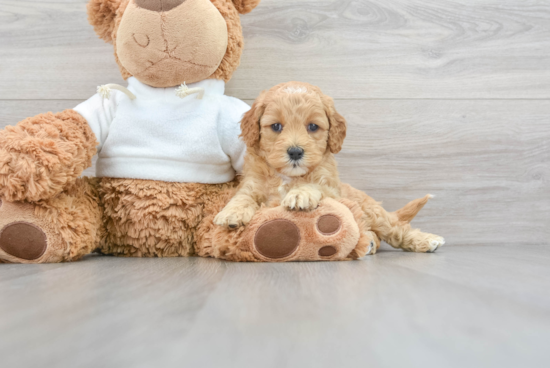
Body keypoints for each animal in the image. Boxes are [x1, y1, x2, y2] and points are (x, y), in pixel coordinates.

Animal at [215, 82, 344, 229]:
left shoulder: (335, 192)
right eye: (276, 126)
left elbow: (317, 186)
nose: (295, 152)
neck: (286, 176)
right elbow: (244, 195)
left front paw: (300, 194)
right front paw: (232, 212)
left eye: (313, 126)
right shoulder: (253, 181)